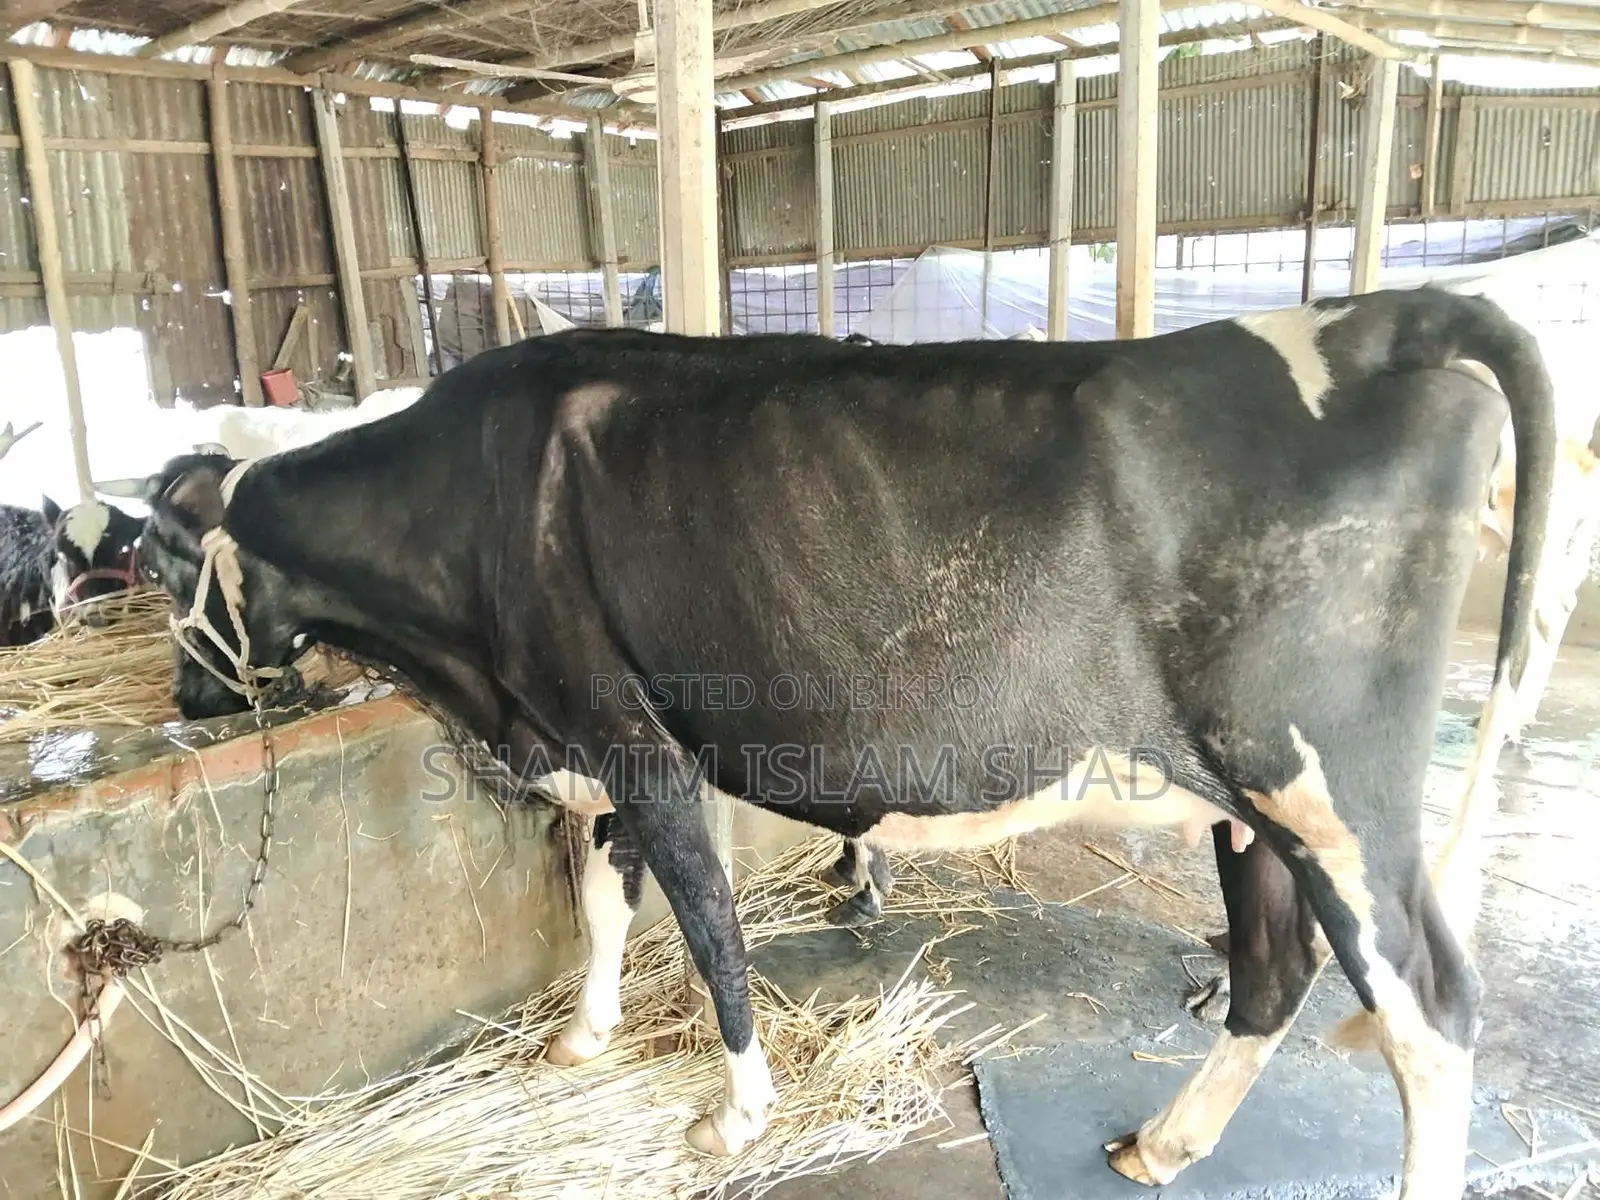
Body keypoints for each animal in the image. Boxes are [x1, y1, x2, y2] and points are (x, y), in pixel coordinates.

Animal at [129, 286, 1551, 1199]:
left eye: (153, 561)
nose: (188, 701)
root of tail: (1383, 316)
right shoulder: (596, 732)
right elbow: (603, 897)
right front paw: (585, 1038)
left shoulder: (630, 734)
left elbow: (706, 925)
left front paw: (735, 1112)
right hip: (1253, 804)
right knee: (1273, 971)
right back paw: (1159, 1144)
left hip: (1332, 785)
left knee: (1430, 1011)